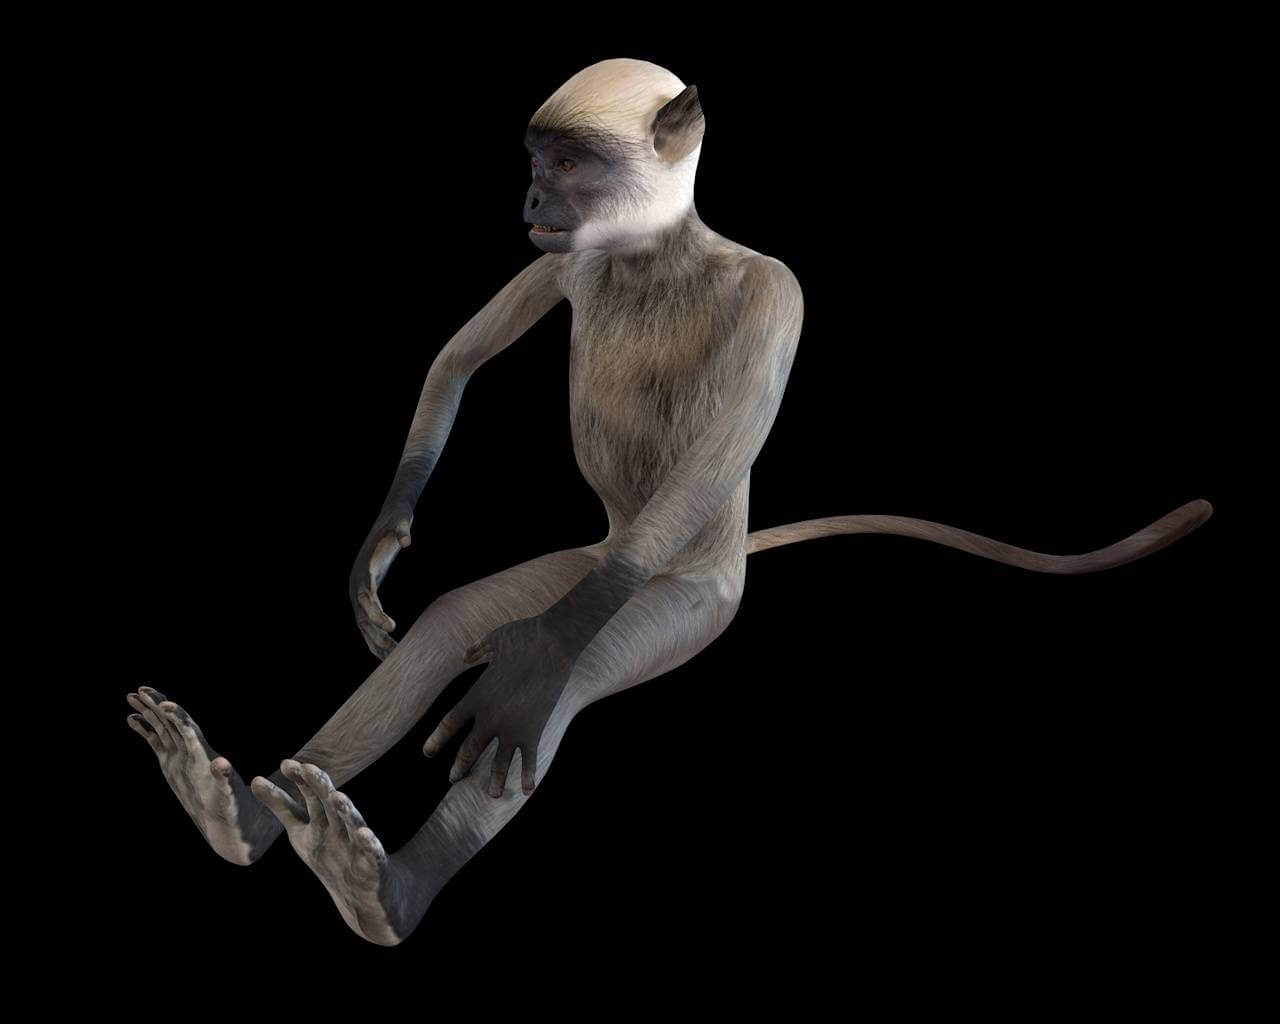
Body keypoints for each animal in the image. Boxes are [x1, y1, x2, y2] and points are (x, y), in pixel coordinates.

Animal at [124, 57, 1213, 947]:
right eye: (535, 161)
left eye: (564, 161)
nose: (528, 192)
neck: (657, 254)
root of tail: (708, 563)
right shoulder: (566, 256)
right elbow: (454, 360)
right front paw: (378, 554)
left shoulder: (775, 293)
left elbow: (550, 654)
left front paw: (501, 683)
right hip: (592, 564)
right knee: (454, 625)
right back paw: (239, 812)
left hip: (676, 601)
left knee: (549, 673)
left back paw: (385, 888)